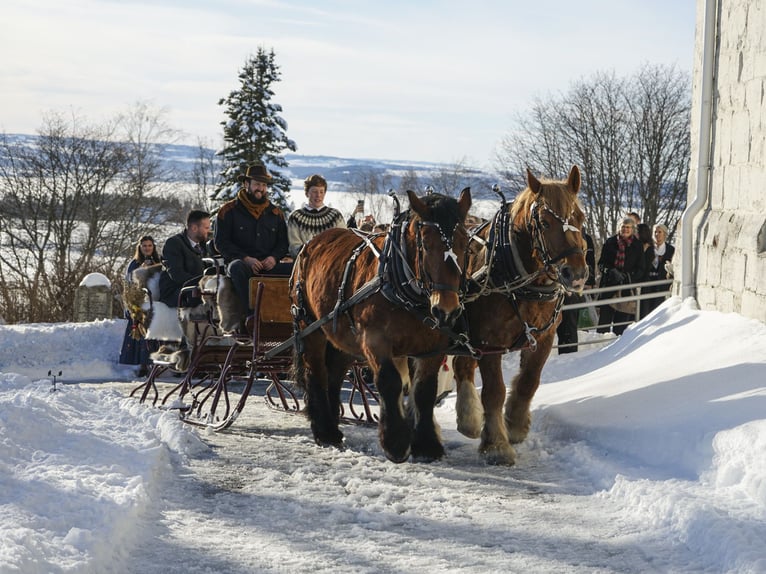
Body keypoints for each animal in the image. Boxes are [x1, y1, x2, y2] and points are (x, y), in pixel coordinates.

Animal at [292, 191, 472, 466]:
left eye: (465, 243)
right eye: (425, 243)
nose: (447, 310)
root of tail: (311, 243)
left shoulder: (433, 348)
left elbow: (424, 391)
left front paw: (427, 445)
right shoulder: (375, 341)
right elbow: (390, 381)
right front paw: (396, 443)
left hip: (341, 337)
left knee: (334, 374)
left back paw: (333, 422)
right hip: (310, 328)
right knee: (316, 373)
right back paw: (325, 431)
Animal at [452, 166, 592, 468]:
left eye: (579, 217)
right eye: (545, 223)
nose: (576, 274)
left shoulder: (544, 336)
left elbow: (529, 381)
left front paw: (515, 424)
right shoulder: (489, 341)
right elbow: (494, 391)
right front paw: (496, 445)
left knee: (461, 364)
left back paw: (469, 419)